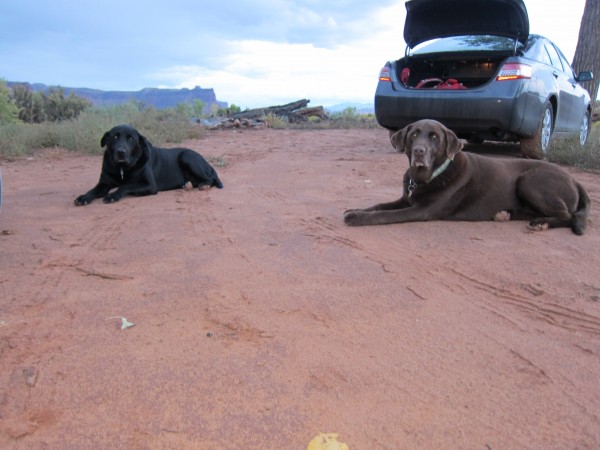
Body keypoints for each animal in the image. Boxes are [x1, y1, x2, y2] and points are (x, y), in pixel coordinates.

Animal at [74, 125, 221, 206]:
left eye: (131, 138)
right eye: (115, 137)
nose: (121, 152)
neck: (122, 168)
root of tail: (206, 162)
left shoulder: (149, 185)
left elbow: (125, 186)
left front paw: (112, 195)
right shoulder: (104, 183)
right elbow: (92, 191)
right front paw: (83, 197)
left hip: (187, 157)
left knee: (210, 179)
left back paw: (203, 185)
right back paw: (187, 185)